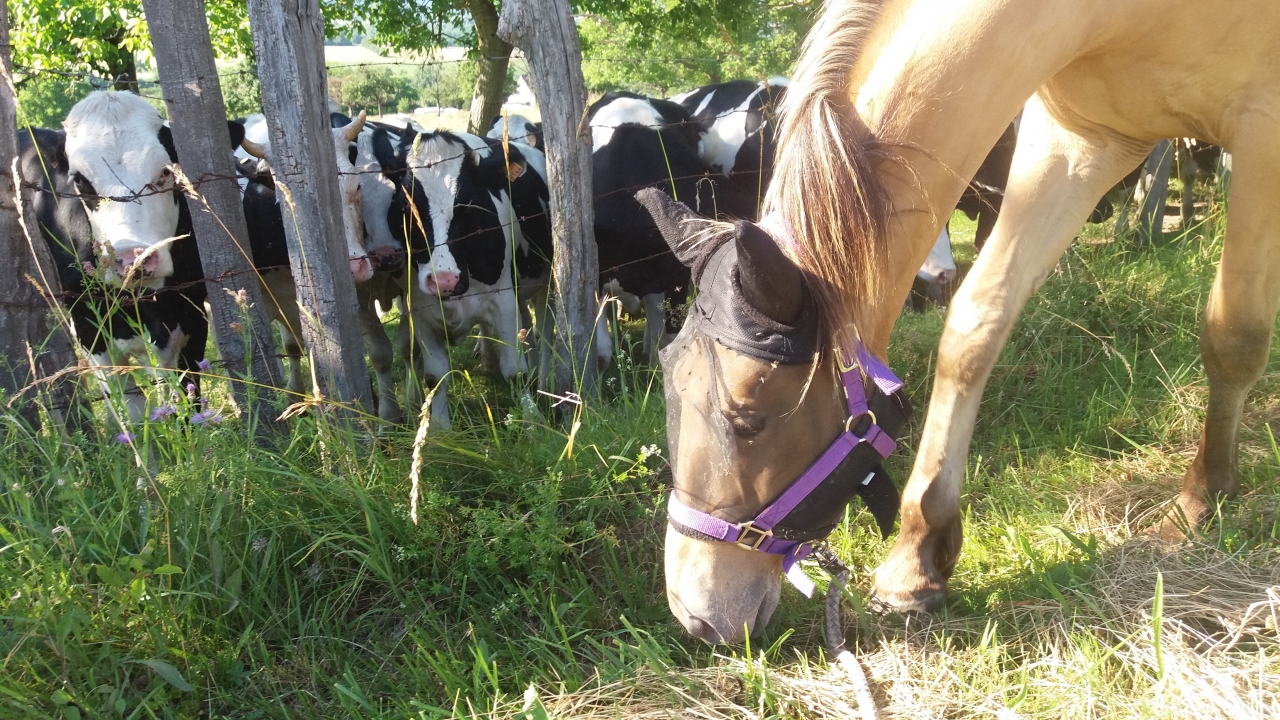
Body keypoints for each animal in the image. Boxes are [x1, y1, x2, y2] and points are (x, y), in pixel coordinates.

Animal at [16, 91, 245, 422]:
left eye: (166, 172)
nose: (131, 260)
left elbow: (185, 398)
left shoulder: (189, 318)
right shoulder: (90, 331)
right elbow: (132, 409)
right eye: (80, 180)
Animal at [647, 0, 1280, 643]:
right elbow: (976, 322)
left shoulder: (1262, 132)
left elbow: (1234, 334)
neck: (1118, 20)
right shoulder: (1080, 140)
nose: (695, 613)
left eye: (748, 418)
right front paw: (916, 559)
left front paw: (1203, 497)